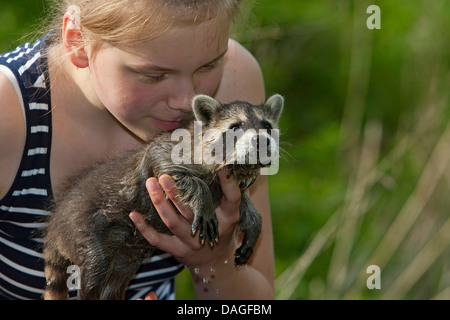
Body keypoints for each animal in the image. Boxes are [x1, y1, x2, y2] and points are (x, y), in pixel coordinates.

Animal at [41, 94, 282, 298]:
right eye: (235, 127)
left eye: (267, 126)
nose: (262, 141)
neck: (236, 167)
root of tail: (55, 227)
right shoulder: (168, 152)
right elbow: (168, 166)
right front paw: (203, 199)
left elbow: (243, 202)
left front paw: (253, 221)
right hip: (85, 228)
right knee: (95, 266)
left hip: (122, 259)